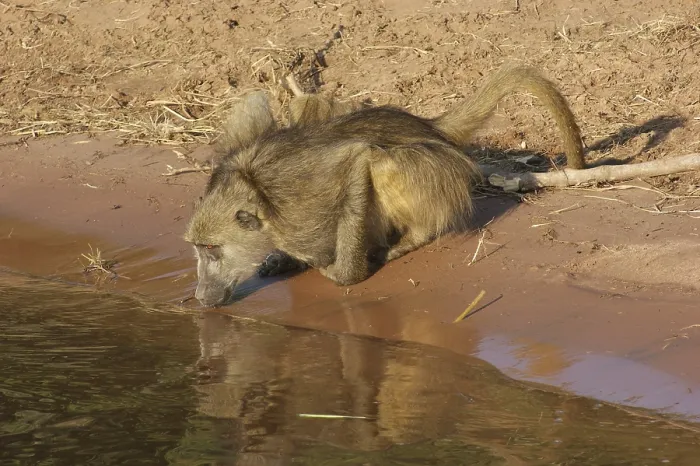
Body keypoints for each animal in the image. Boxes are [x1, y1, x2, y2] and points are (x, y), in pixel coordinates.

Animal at [184, 65, 586, 307]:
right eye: (199, 249)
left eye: (211, 248)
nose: (200, 296)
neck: (256, 192)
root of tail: (428, 126)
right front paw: (280, 261)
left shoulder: (302, 201)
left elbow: (358, 158)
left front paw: (343, 275)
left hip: (436, 170)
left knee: (382, 163)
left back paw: (406, 241)